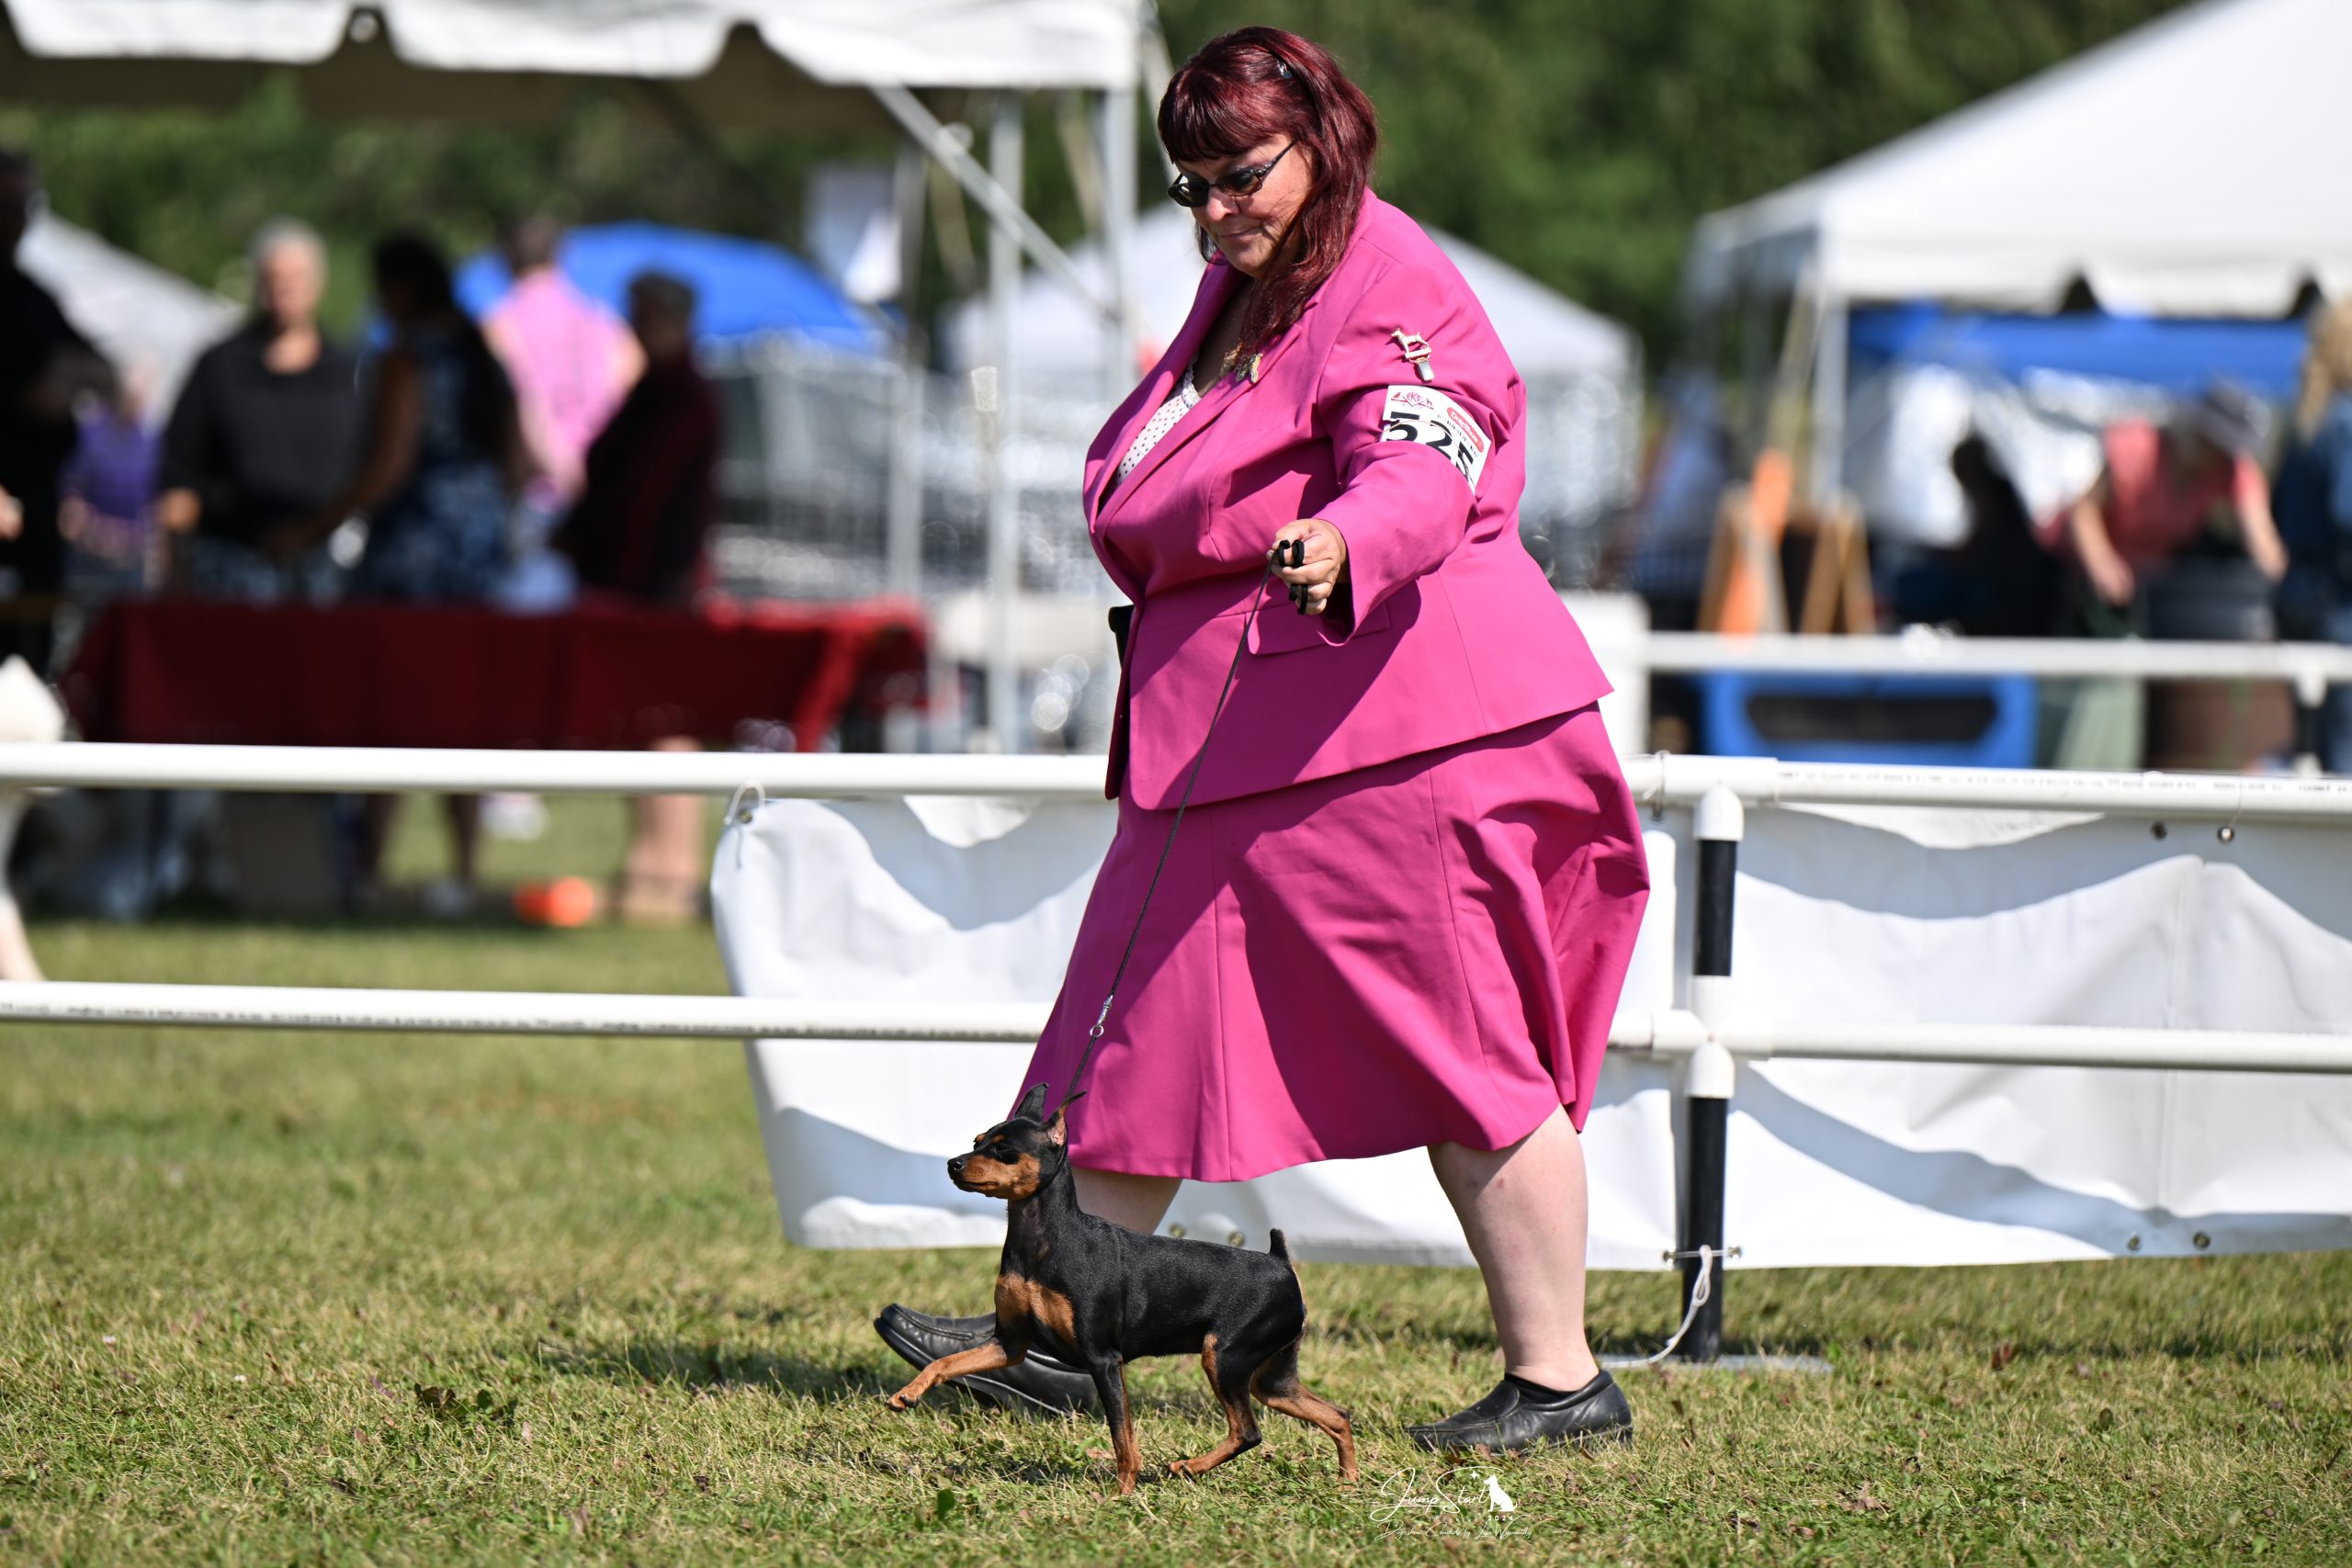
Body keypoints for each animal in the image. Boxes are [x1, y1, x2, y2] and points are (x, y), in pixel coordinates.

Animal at [883, 1083, 1357, 1495]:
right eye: (976, 1140)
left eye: (1002, 1149)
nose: (953, 1163)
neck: (1041, 1240)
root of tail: (1280, 1262)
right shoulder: (1009, 1344)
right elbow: (947, 1361)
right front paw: (909, 1392)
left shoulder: (1104, 1360)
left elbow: (1122, 1435)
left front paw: (1121, 1494)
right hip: (1271, 1380)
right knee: (1336, 1415)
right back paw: (1348, 1483)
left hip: (1223, 1358)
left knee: (1249, 1430)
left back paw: (1191, 1466)